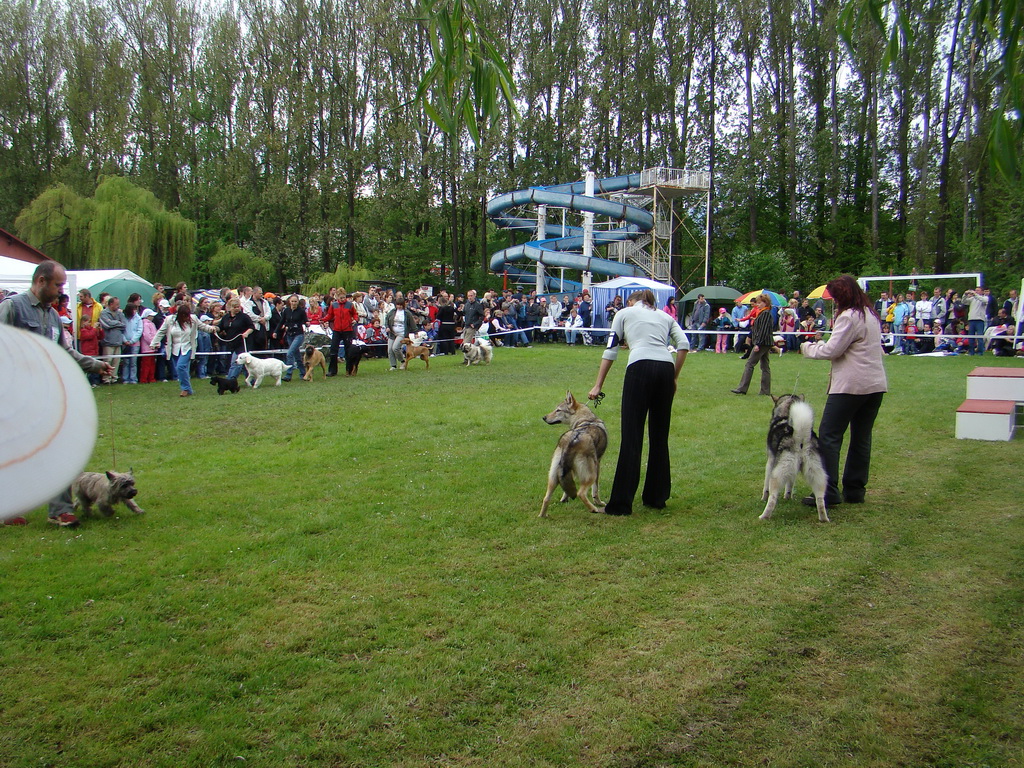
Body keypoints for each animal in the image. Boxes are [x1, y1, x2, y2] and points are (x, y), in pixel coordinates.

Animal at [536, 391, 606, 524]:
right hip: (591, 474)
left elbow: (566, 488)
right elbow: (595, 490)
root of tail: (572, 439)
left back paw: (543, 516)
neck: (586, 419)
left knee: (546, 498)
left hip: (552, 477)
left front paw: (564, 498)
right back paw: (594, 509)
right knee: (581, 493)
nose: (544, 417)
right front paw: (599, 503)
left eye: (558, 410)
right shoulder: (598, 464)